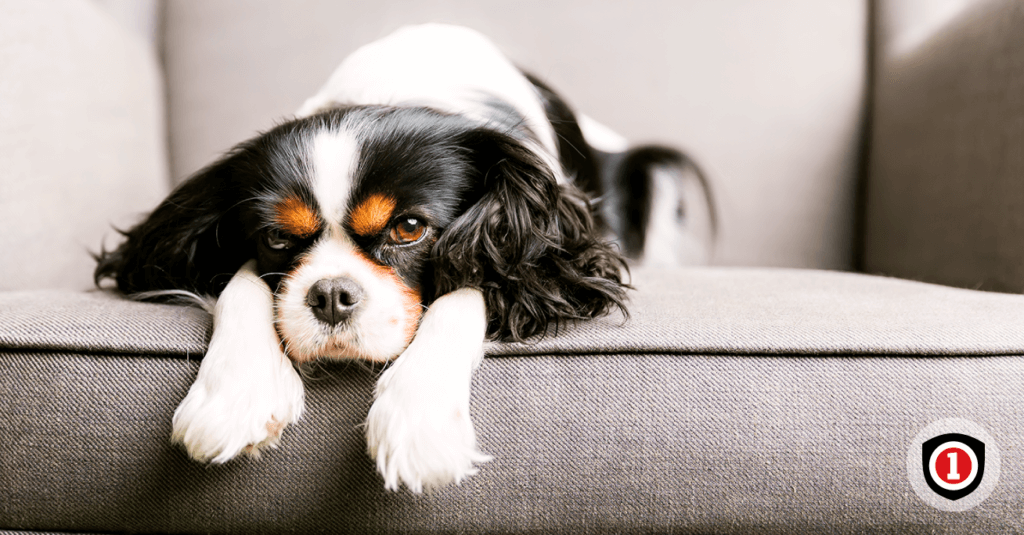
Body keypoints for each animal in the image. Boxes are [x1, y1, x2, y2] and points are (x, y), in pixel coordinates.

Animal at [92, 23, 708, 491]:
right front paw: (235, 392)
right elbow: (242, 284)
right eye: (276, 239)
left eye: (409, 228)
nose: (330, 295)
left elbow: (468, 288)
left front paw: (419, 420)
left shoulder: (531, 252)